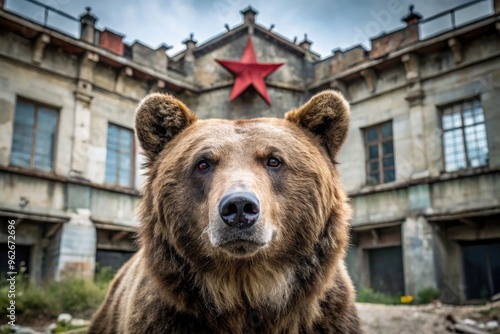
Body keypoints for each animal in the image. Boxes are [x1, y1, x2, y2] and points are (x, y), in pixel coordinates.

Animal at [90, 90, 362, 332]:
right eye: (203, 163)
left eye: (274, 160)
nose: (239, 207)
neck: (243, 286)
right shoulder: (164, 317)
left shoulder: (329, 315)